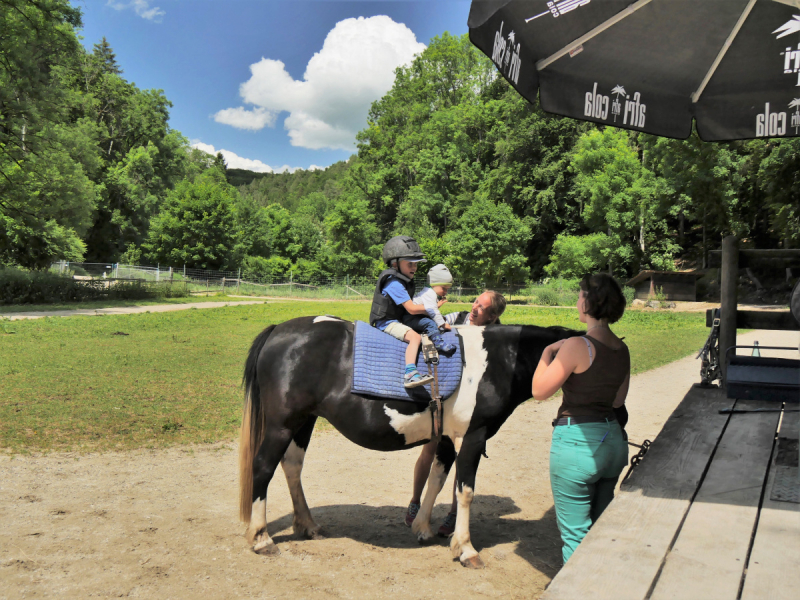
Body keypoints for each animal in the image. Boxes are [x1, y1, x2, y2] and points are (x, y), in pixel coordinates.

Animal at [241, 314, 580, 568]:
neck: (495, 362)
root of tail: (278, 330)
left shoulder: (446, 438)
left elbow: (437, 479)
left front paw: (423, 528)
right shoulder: (473, 437)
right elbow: (465, 491)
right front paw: (465, 548)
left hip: (304, 422)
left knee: (292, 466)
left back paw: (307, 525)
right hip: (281, 425)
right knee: (263, 467)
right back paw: (261, 538)